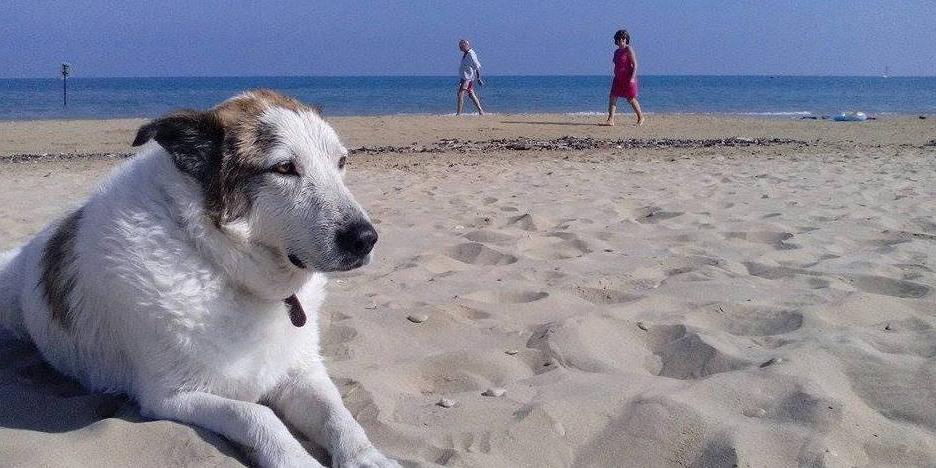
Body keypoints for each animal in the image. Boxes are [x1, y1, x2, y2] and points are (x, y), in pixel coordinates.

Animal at [0, 89, 398, 466]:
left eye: (341, 162)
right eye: (284, 167)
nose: (365, 239)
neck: (216, 261)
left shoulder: (302, 372)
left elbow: (338, 415)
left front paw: (367, 457)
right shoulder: (171, 397)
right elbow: (258, 415)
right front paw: (296, 461)